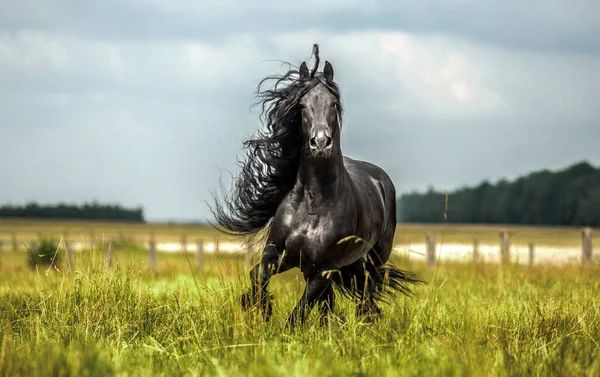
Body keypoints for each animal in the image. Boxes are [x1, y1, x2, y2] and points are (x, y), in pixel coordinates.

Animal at [211, 44, 422, 326]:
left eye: (333, 104)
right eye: (301, 105)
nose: (320, 142)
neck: (312, 202)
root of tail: (381, 179)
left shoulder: (323, 268)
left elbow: (298, 313)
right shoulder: (281, 253)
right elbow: (258, 275)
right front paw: (261, 309)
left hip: (374, 259)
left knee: (365, 295)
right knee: (331, 301)